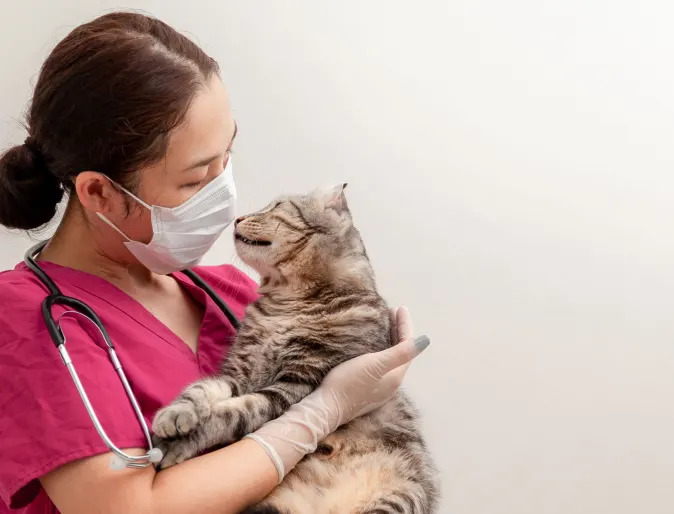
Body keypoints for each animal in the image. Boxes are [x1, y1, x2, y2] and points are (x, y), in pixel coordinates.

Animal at [151, 185, 436, 512]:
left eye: (276, 207)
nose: (238, 218)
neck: (286, 303)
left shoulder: (297, 383)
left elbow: (234, 412)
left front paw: (180, 440)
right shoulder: (239, 372)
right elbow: (200, 389)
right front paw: (176, 413)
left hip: (396, 500)